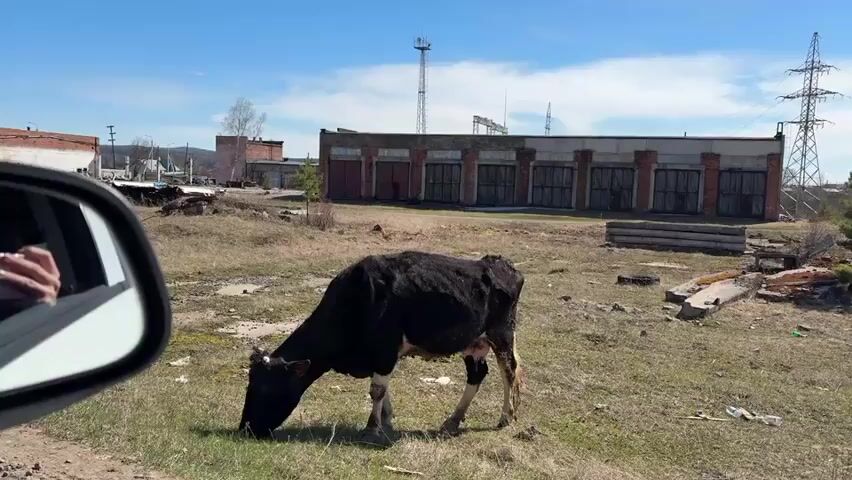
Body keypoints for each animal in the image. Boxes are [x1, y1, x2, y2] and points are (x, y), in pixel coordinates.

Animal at [238, 251, 525, 441]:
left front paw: (372, 427)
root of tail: (501, 264)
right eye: (249, 385)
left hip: (501, 333)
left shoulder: (385, 351)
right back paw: (452, 422)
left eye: (266, 388)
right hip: (474, 343)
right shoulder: (378, 355)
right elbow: (383, 390)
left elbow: (376, 390)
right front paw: (385, 420)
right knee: (477, 375)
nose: (245, 428)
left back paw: (506, 417)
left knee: (509, 372)